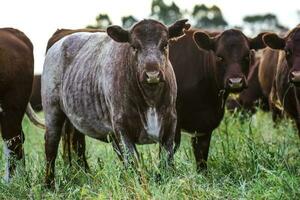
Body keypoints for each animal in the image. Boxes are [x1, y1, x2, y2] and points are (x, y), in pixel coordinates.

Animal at [41, 19, 190, 188]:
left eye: (165, 44)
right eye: (134, 46)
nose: (152, 74)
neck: (150, 98)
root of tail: (60, 42)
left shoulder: (170, 125)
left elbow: (166, 161)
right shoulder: (122, 128)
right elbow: (133, 162)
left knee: (76, 145)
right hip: (52, 111)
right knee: (51, 147)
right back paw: (49, 184)